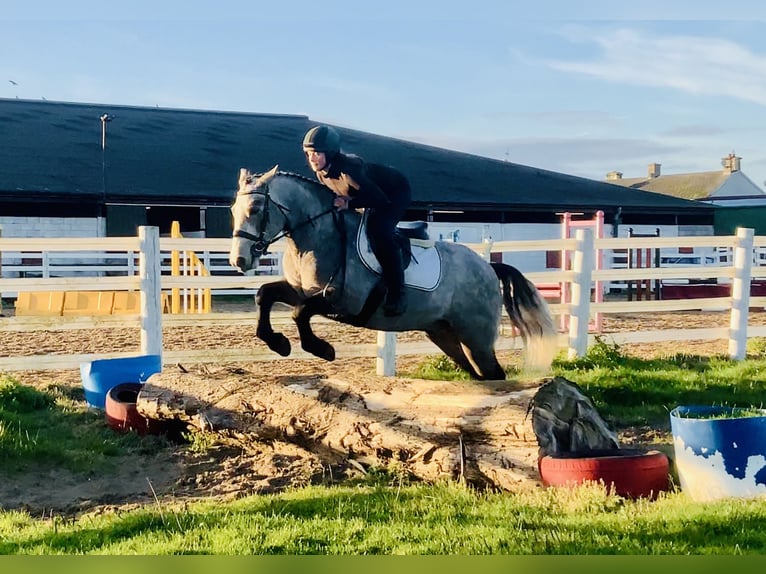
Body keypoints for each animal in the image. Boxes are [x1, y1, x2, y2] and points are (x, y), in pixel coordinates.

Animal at [229, 166, 558, 380]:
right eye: (233, 209)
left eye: (256, 208)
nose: (239, 260)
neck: (316, 236)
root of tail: (488, 267)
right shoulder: (301, 290)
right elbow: (265, 295)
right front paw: (277, 342)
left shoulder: (342, 302)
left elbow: (300, 313)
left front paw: (321, 349)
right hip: (445, 335)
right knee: (480, 376)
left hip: (476, 337)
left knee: (494, 374)